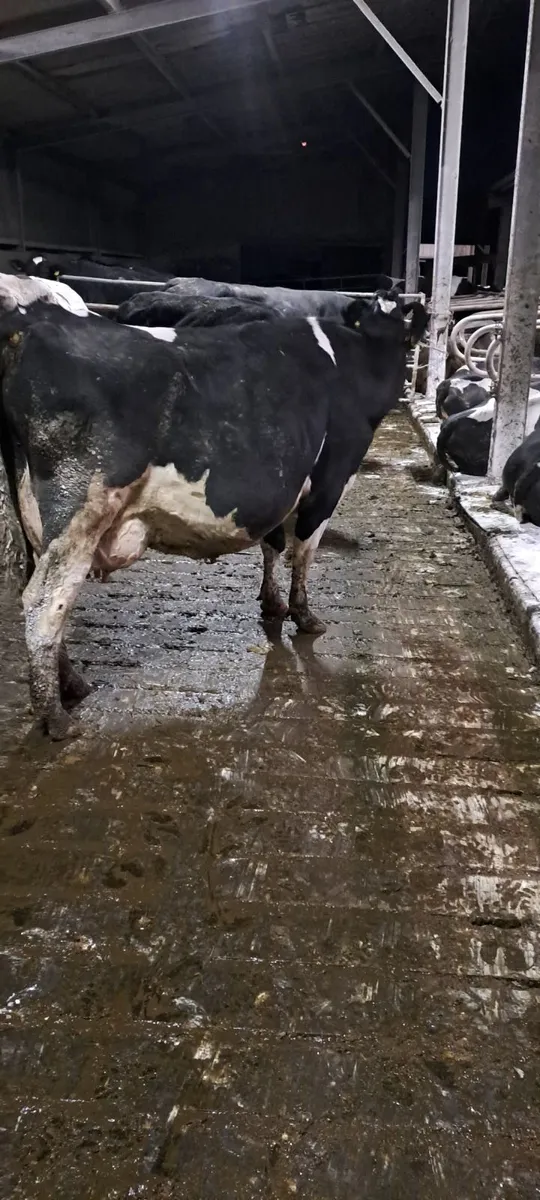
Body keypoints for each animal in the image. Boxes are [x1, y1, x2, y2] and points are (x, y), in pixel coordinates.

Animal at [0, 277, 427, 738]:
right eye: (400, 335)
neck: (356, 357)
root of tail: (29, 331)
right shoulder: (331, 479)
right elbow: (304, 551)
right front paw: (304, 615)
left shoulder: (282, 488)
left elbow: (273, 544)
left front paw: (272, 603)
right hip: (81, 508)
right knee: (44, 601)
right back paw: (56, 717)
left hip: (33, 515)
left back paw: (73, 685)